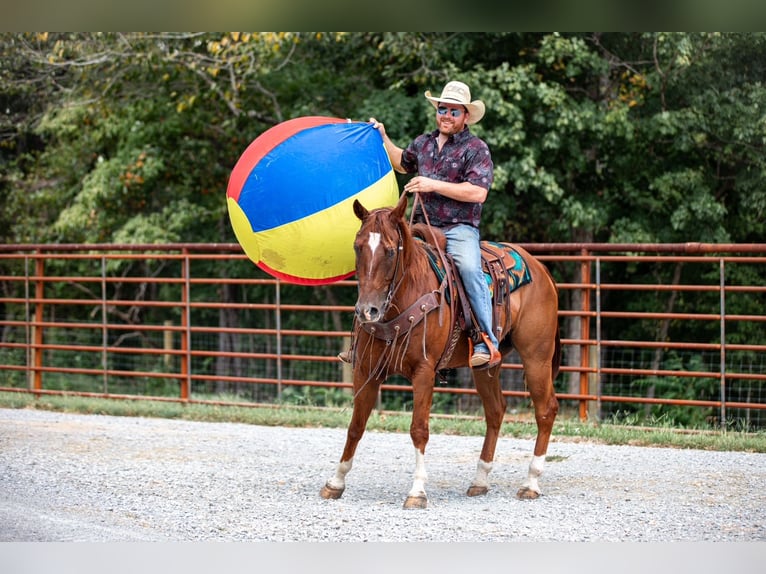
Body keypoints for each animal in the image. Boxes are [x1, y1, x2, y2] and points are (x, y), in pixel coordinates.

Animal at [320, 193, 561, 509]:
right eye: (357, 246)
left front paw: (417, 491)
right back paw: (480, 480)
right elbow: (355, 426)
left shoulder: (424, 372)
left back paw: (531, 482)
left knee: (545, 410)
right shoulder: (366, 370)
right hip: (485, 367)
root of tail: (541, 269)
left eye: (389, 251)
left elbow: (419, 429)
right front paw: (335, 482)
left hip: (537, 358)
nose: (367, 311)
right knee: (496, 410)